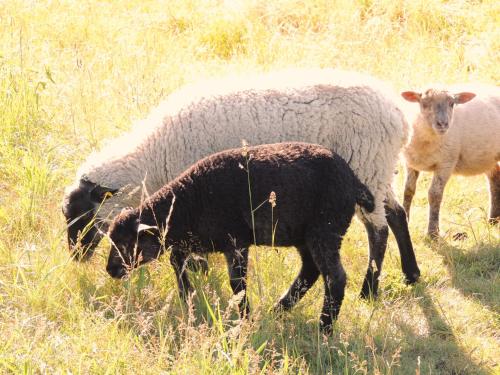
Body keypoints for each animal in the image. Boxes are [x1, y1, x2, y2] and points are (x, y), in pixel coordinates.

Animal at [62, 67, 422, 296]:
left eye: (83, 215)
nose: (75, 258)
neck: (153, 156)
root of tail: (400, 118)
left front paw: (201, 277)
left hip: (367, 164)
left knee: (378, 230)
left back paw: (369, 290)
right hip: (378, 170)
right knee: (397, 214)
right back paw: (412, 274)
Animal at [106, 142, 376, 332]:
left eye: (126, 243)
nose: (110, 269)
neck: (187, 202)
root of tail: (354, 182)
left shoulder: (235, 240)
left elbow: (237, 285)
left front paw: (245, 319)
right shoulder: (197, 239)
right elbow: (177, 260)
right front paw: (189, 298)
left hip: (326, 227)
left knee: (335, 278)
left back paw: (324, 329)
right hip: (305, 234)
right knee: (310, 269)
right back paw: (278, 310)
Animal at [400, 85, 500, 238]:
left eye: (452, 104)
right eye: (424, 103)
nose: (443, 124)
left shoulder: (446, 163)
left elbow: (434, 194)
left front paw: (433, 232)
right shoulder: (410, 163)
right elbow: (408, 190)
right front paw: (406, 220)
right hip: (488, 157)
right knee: (495, 179)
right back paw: (493, 220)